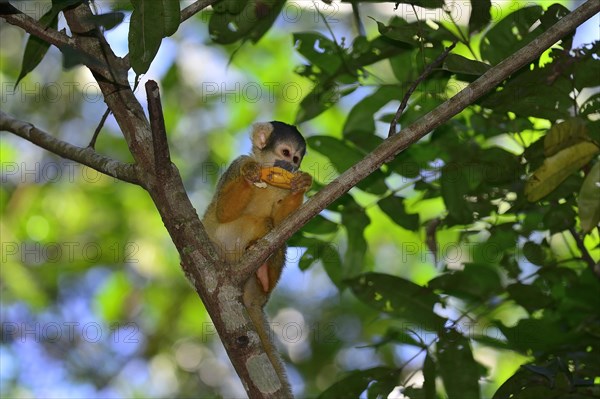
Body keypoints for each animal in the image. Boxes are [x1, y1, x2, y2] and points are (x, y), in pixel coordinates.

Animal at [203, 122, 312, 390]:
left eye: (296, 159)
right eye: (285, 153)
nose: (291, 167)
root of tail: (250, 297)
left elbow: (287, 224)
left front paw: (302, 184)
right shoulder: (235, 164)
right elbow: (223, 211)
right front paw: (250, 173)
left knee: (276, 233)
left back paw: (264, 276)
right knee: (259, 221)